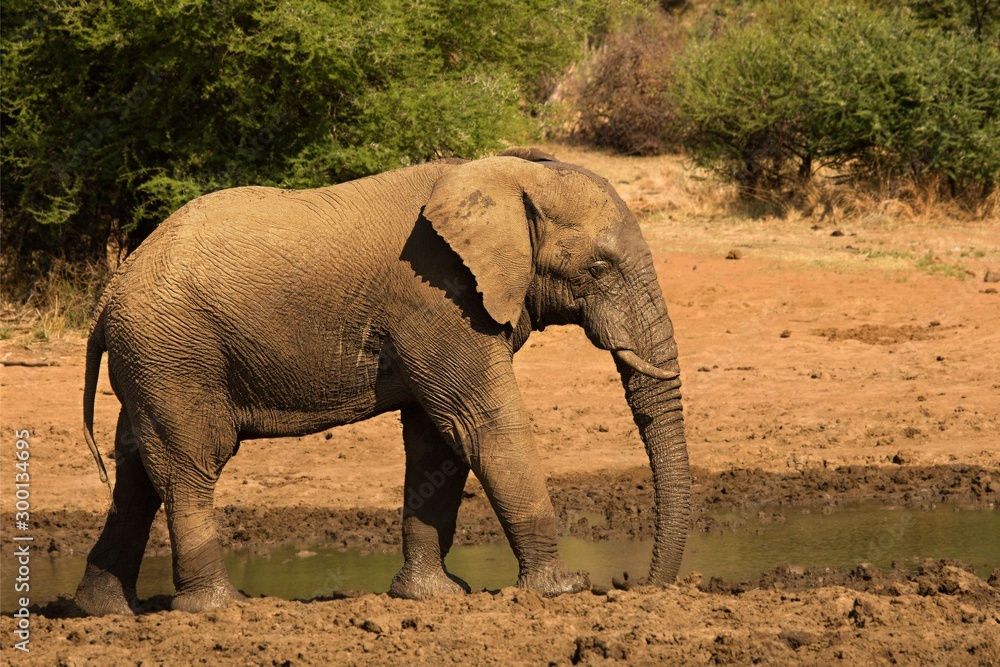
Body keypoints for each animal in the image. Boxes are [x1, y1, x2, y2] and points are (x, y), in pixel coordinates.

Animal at [73, 147, 690, 615]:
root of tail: (110, 292)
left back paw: (103, 611)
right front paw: (562, 590)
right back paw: (222, 608)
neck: (502, 175)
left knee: (137, 474)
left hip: (154, 361)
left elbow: (438, 441)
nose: (640, 584)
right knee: (191, 465)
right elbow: (482, 425)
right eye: (600, 268)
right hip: (174, 354)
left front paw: (433, 597)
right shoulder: (437, 297)